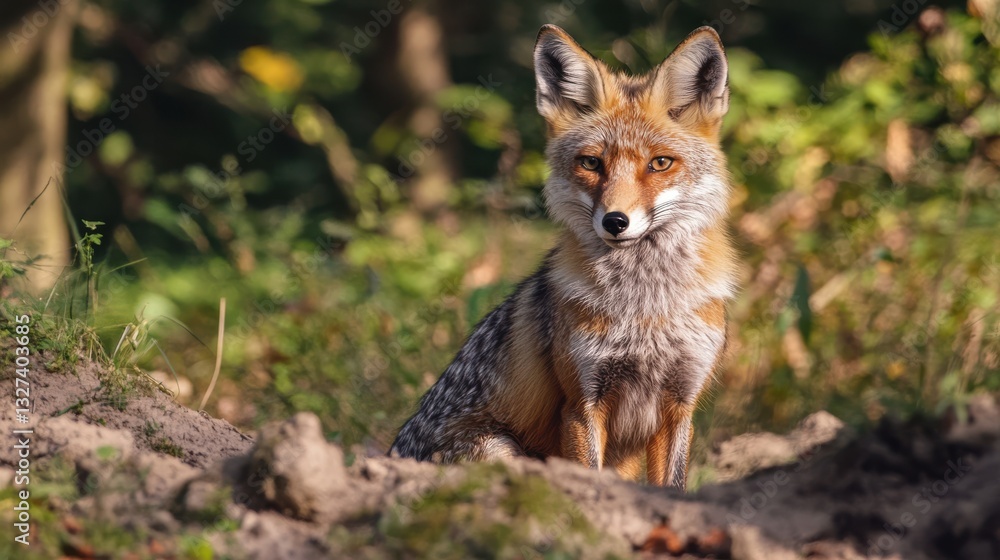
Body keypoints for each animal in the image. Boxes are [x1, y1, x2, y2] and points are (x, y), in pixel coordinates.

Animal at [389, 24, 737, 488]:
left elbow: (673, 486)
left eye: (660, 163)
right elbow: (588, 475)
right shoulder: (582, 400)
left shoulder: (681, 404)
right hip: (499, 448)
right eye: (591, 163)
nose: (615, 221)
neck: (646, 312)